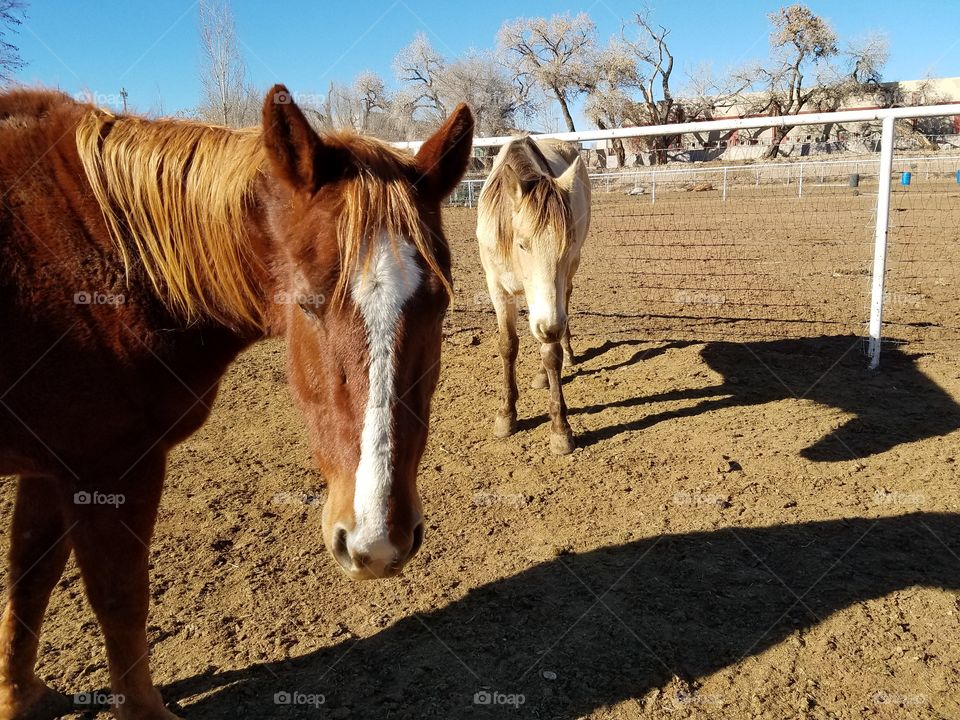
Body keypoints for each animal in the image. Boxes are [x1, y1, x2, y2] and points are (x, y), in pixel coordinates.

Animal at [0, 87, 472, 716]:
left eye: (440, 302)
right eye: (308, 303)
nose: (378, 542)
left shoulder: (52, 464)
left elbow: (30, 574)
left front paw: (19, 696)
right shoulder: (108, 466)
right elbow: (120, 598)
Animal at [476, 135, 588, 456]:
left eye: (567, 243)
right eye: (522, 244)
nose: (550, 327)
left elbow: (551, 353)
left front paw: (560, 429)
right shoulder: (498, 289)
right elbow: (508, 346)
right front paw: (507, 414)